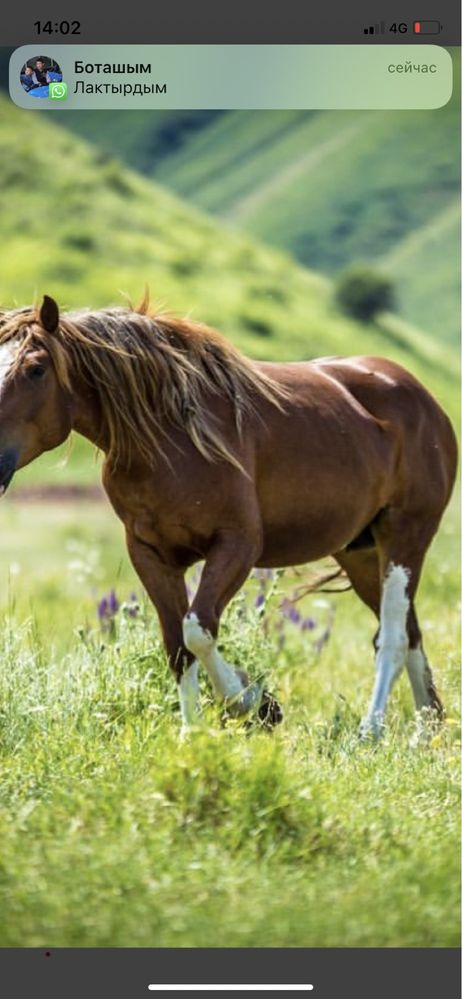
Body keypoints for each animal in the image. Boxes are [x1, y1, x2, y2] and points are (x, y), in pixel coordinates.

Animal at [0, 296, 456, 736]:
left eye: (36, 369)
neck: (170, 435)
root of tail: (424, 400)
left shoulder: (238, 545)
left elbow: (198, 630)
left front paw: (254, 704)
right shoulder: (151, 554)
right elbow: (177, 645)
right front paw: (194, 734)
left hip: (405, 537)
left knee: (393, 637)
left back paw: (371, 730)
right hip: (360, 552)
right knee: (410, 635)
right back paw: (426, 731)